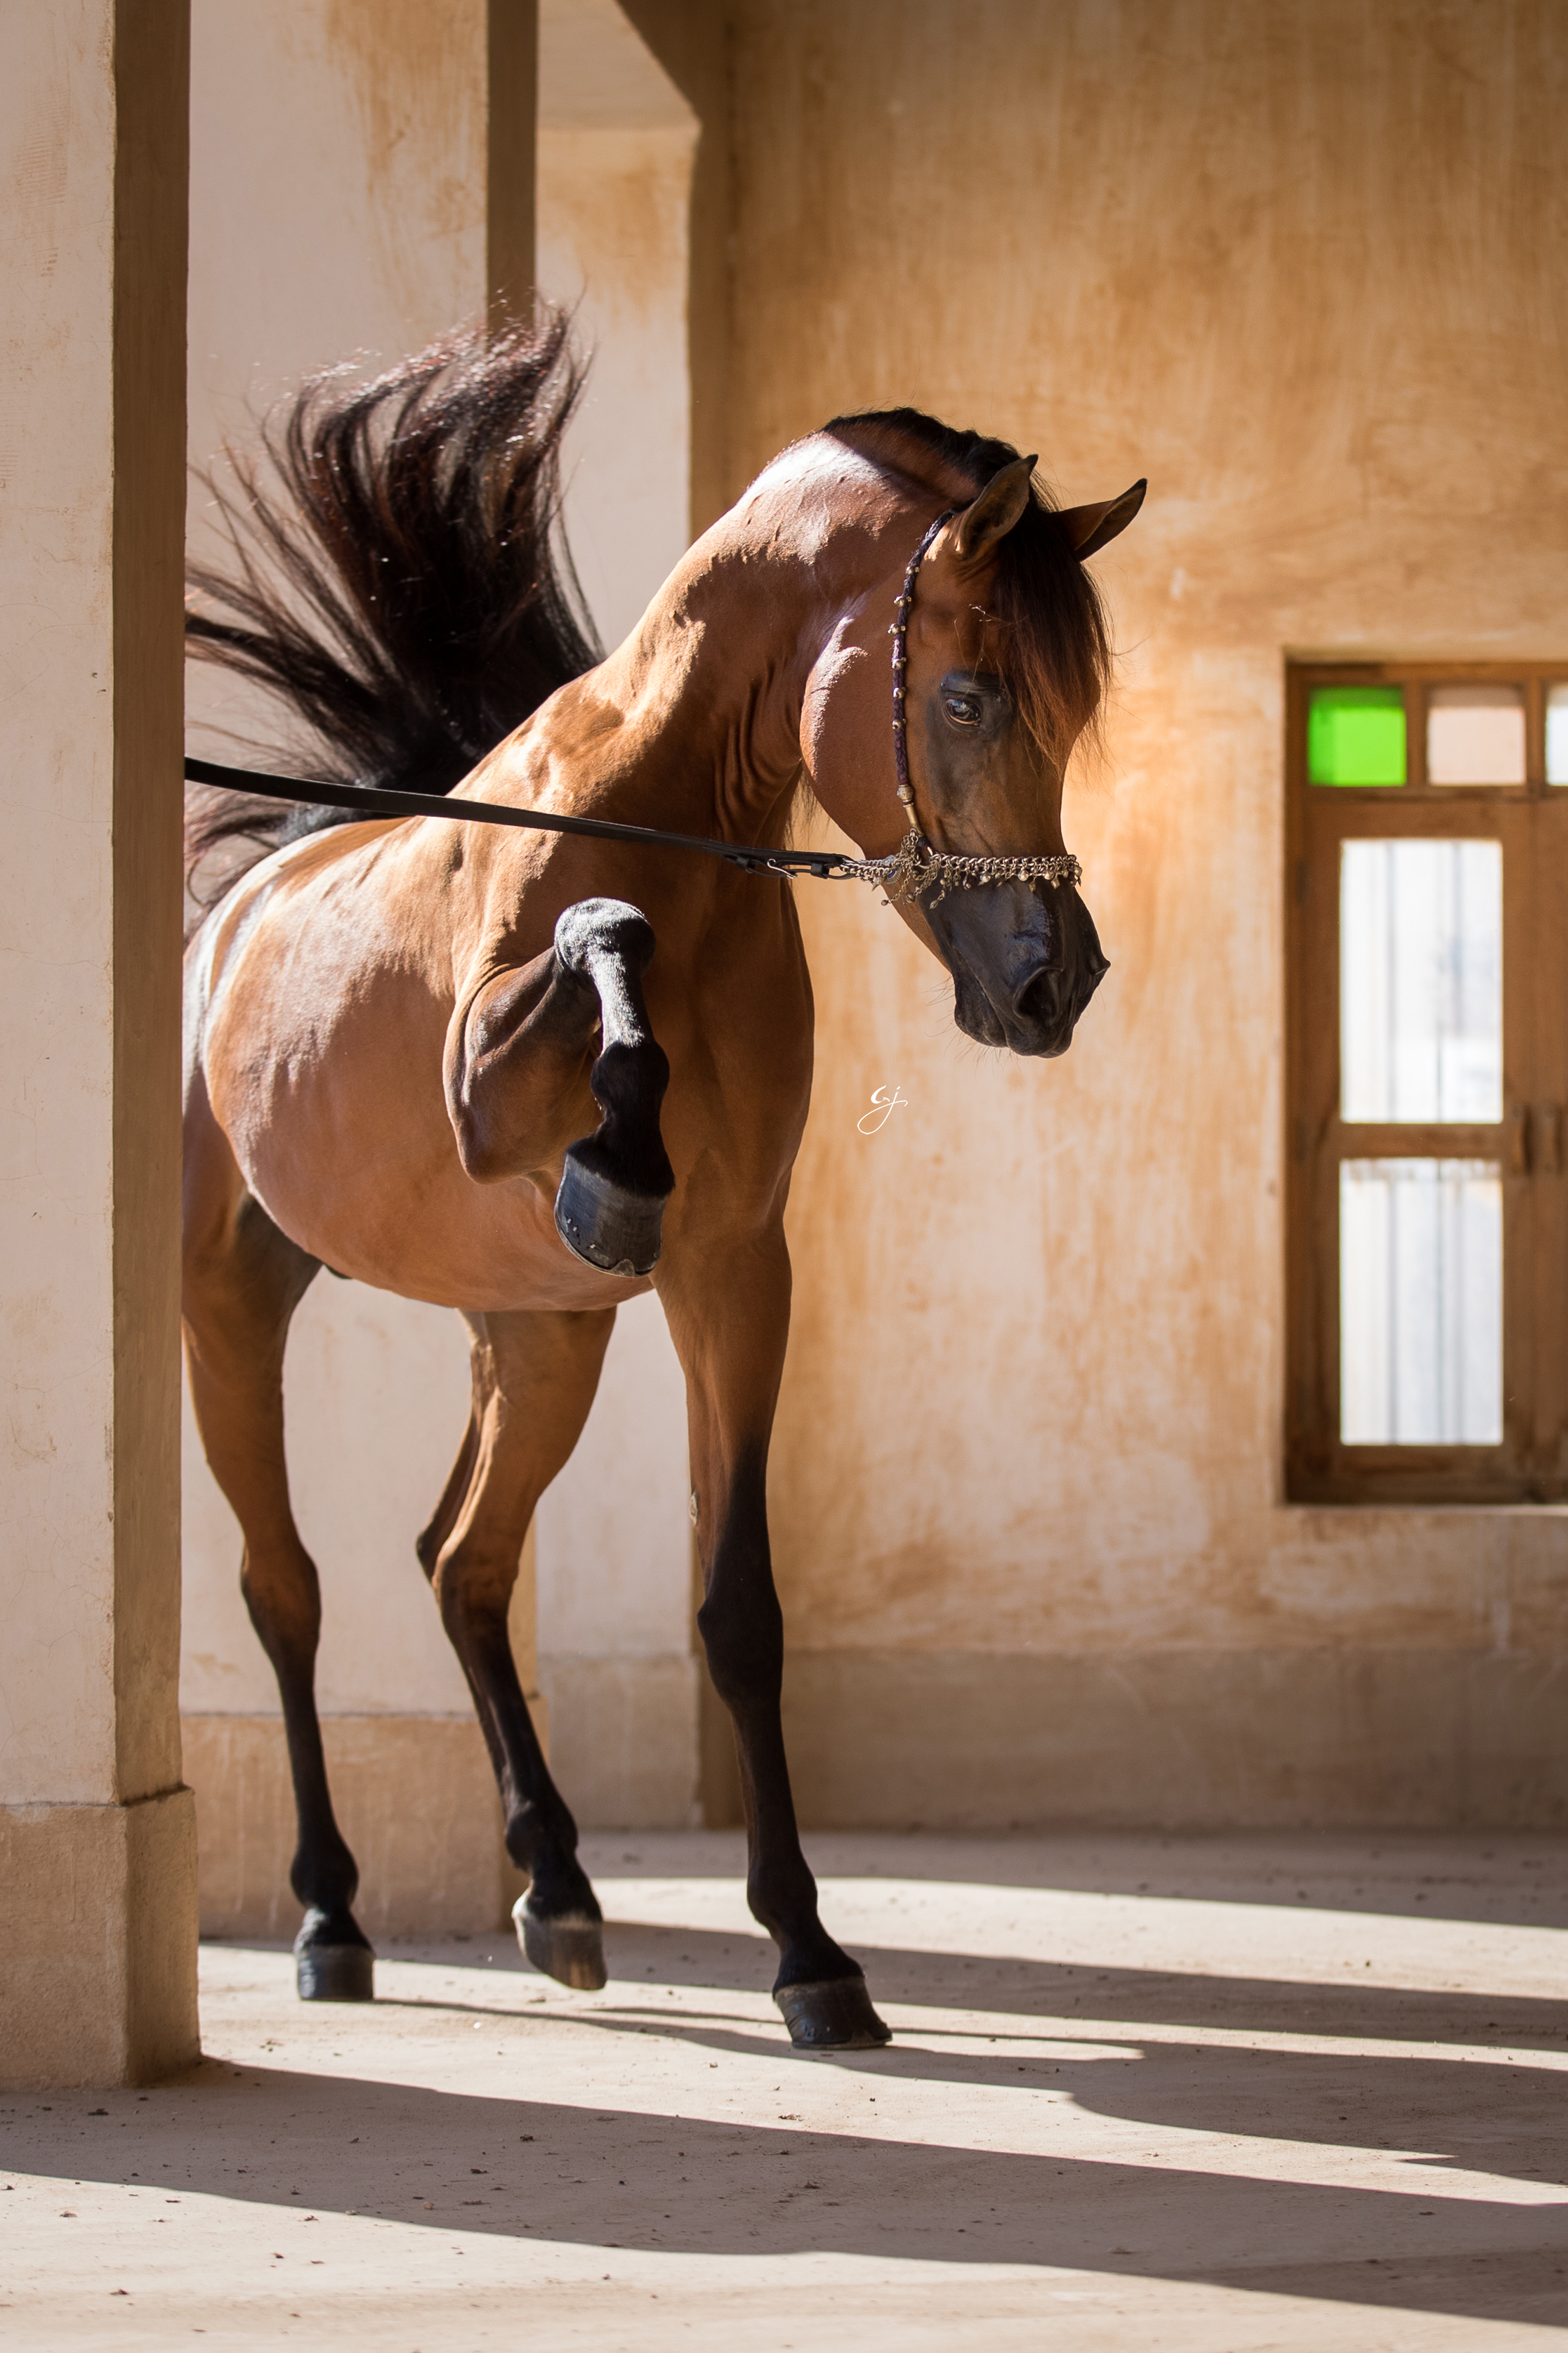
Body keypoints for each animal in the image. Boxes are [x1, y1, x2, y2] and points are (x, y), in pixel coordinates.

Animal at [182, 313, 1144, 2049]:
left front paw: (811, 1951)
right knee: (283, 1588)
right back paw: (330, 1913)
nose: (1057, 981)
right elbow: (599, 935)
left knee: (464, 1564)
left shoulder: (734, 1269)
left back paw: (559, 1888)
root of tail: (237, 915)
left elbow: (739, 1611)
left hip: (543, 1339)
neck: (664, 816)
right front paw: (615, 1149)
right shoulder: (490, 1096)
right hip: (225, 1303)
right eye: (969, 693)